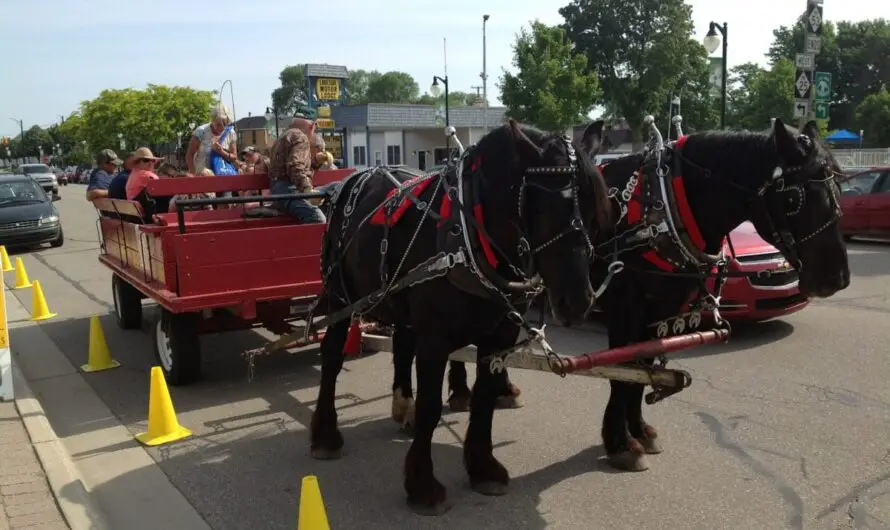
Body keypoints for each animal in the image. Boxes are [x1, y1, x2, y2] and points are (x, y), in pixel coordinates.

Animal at [310, 118, 612, 512]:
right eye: (543, 209)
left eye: (595, 212)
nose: (578, 301)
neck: (469, 236)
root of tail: (355, 178)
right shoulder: (435, 339)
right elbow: (430, 407)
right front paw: (423, 484)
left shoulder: (499, 336)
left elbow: (484, 398)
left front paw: (483, 468)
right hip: (339, 296)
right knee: (331, 357)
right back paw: (325, 434)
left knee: (402, 346)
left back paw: (401, 406)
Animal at [426, 118, 848, 470]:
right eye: (794, 199)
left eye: (838, 187)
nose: (839, 277)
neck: (662, 207)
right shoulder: (625, 311)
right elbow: (622, 375)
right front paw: (620, 442)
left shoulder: (657, 312)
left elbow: (642, 370)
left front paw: (639, 430)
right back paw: (464, 391)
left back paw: (497, 388)